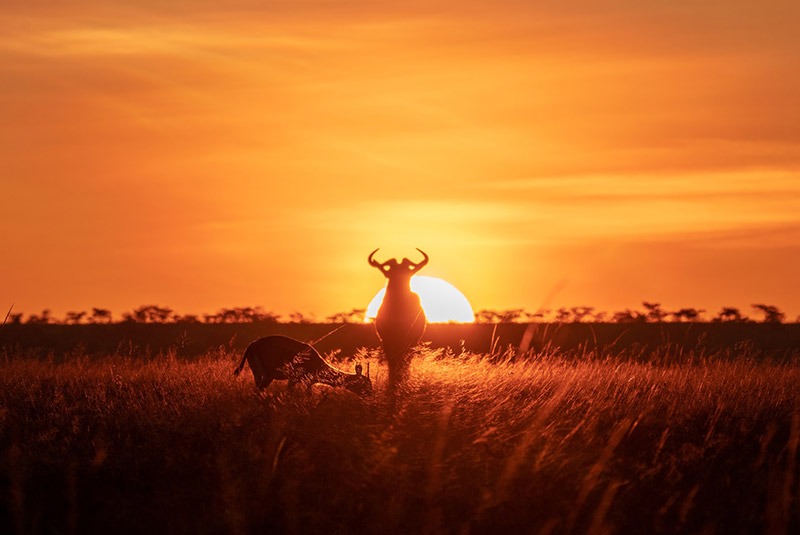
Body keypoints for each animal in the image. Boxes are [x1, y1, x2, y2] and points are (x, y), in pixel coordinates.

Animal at [233, 335, 372, 397]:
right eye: (366, 384)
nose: (371, 395)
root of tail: (253, 344)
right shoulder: (297, 380)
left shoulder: (301, 382)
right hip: (268, 376)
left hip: (257, 375)